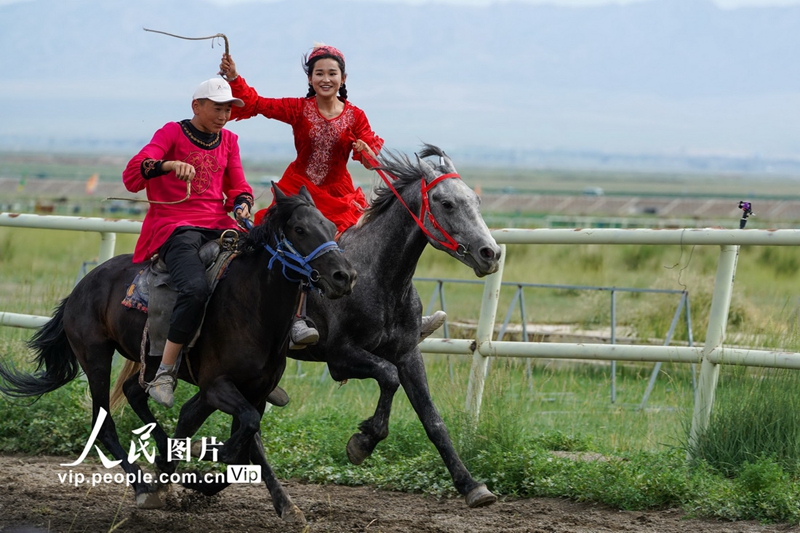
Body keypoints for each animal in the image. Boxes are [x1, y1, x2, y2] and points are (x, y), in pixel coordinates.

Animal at [0, 186, 356, 524]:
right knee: (104, 424)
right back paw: (145, 487)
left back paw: (163, 456)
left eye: (330, 226)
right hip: (96, 358)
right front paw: (197, 459)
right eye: (299, 229)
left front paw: (286, 505)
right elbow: (240, 435)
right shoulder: (217, 386)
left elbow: (247, 444)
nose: (345, 276)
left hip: (148, 362)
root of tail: (80, 288)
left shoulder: (255, 392)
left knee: (133, 392)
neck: (252, 307)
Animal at [296, 144, 500, 508]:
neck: (378, 277)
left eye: (476, 200)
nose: (490, 253)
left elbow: (433, 420)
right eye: (446, 203)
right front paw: (362, 442)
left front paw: (471, 485)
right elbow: (387, 377)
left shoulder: (408, 354)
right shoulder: (339, 357)